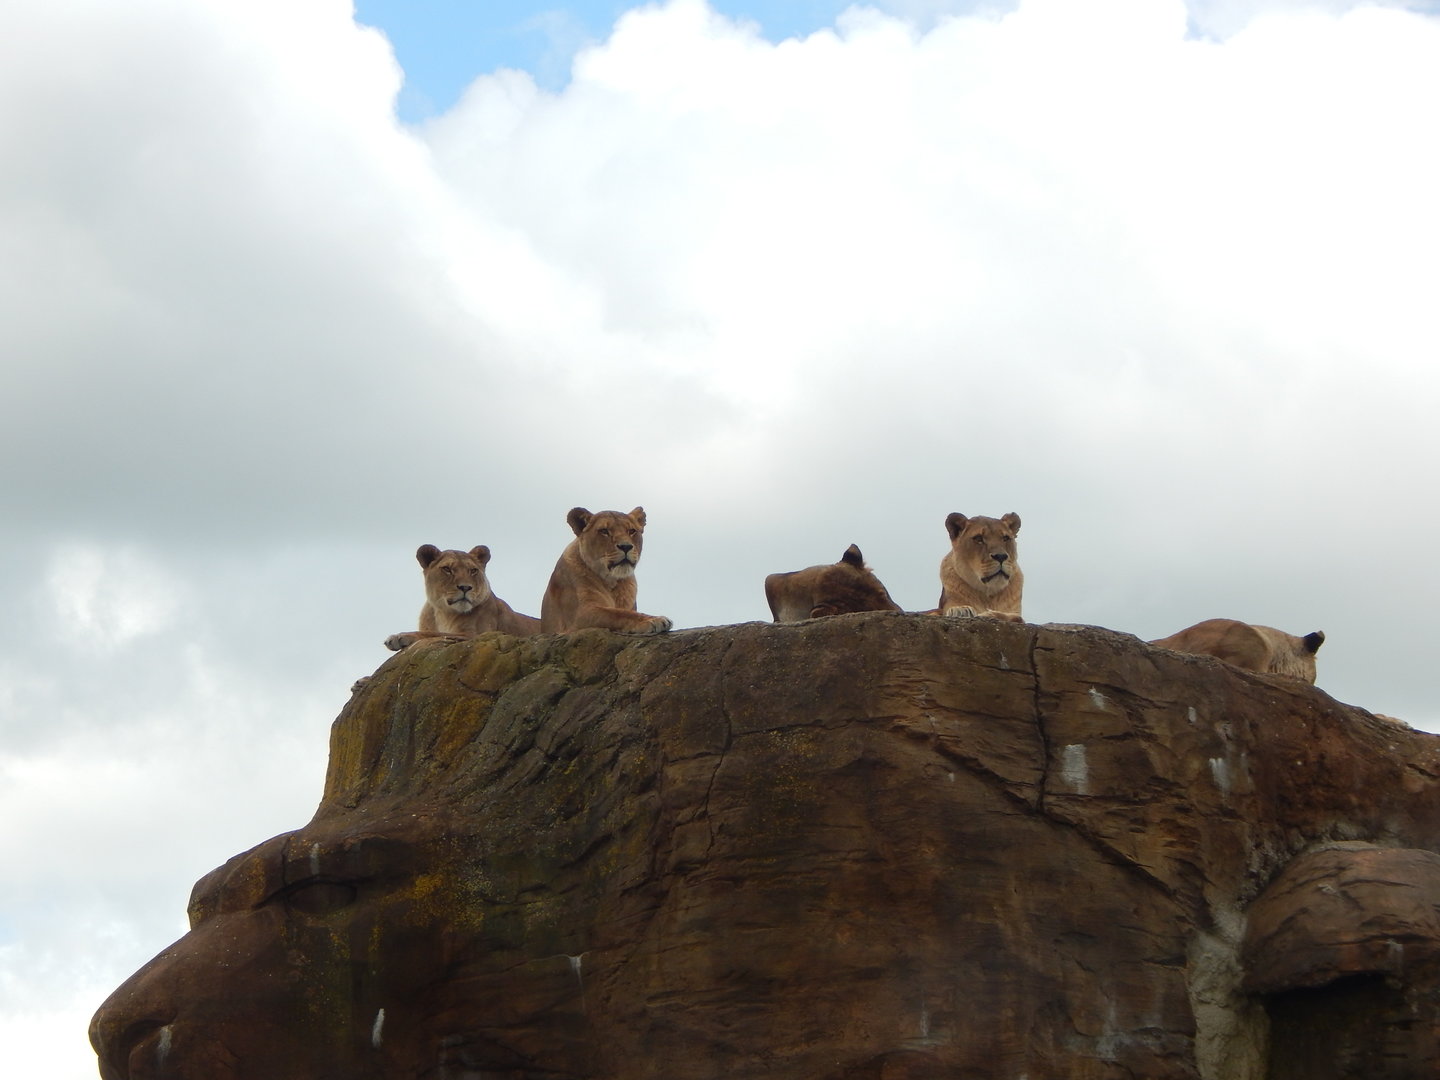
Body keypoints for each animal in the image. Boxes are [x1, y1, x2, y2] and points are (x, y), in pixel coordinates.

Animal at [384, 544, 541, 651]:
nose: (465, 587)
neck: (444, 613)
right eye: (447, 569)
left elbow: (435, 634)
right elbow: (434, 633)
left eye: (473, 570)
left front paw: (399, 637)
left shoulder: (475, 635)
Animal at [540, 507, 672, 634]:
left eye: (631, 531)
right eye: (604, 531)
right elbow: (617, 614)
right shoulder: (580, 615)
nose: (626, 546)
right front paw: (655, 620)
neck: (613, 583)